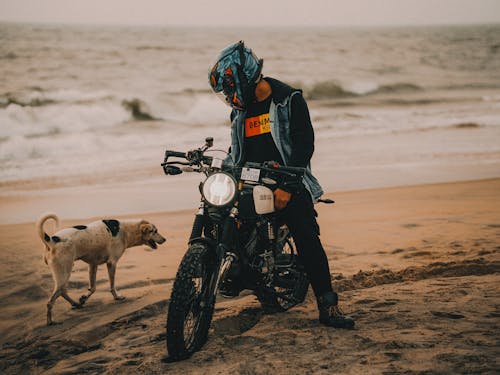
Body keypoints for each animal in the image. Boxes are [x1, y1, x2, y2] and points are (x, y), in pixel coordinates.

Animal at [37, 214, 166, 326]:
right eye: (155, 231)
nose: (165, 239)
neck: (126, 230)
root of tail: (51, 240)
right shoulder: (112, 263)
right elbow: (112, 286)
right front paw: (117, 297)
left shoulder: (93, 265)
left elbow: (93, 288)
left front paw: (84, 298)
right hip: (64, 272)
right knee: (51, 300)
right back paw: (50, 321)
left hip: (63, 273)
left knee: (62, 291)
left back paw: (76, 304)